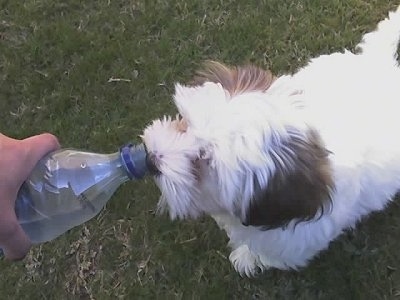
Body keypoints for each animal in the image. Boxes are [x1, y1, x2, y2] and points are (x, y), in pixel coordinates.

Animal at [142, 5, 400, 276]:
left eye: (202, 161)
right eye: (185, 125)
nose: (150, 160)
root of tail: (378, 64)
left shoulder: (294, 241)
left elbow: (269, 254)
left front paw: (247, 258)